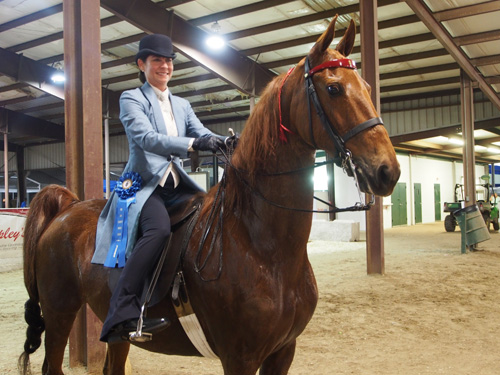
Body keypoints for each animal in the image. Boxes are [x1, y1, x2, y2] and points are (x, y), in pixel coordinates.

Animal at [19, 16, 400, 375]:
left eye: (368, 87)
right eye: (333, 88)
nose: (388, 171)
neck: (260, 245)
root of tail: (67, 208)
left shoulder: (283, 351)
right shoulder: (240, 358)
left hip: (113, 331)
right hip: (60, 313)